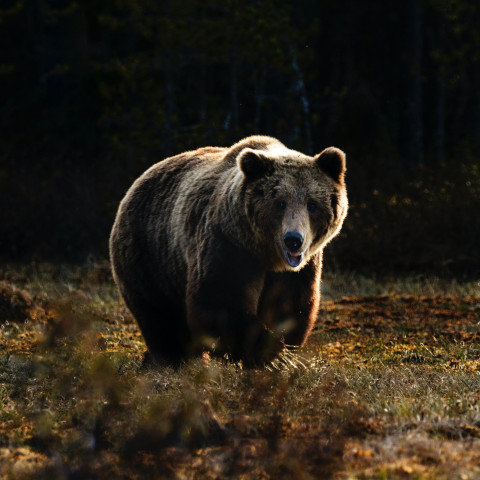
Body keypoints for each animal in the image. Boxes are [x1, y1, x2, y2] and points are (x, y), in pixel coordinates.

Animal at [110, 137, 346, 366]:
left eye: (312, 204)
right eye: (280, 203)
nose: (293, 240)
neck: (267, 255)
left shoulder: (299, 269)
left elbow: (290, 305)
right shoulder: (229, 244)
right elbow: (220, 300)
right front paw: (273, 356)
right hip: (150, 254)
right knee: (160, 315)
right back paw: (173, 358)